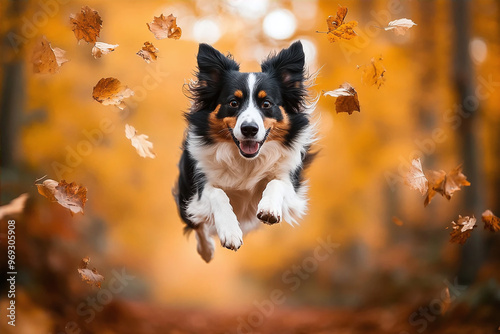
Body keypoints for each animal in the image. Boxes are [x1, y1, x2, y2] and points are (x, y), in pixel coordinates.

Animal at [174, 40, 316, 262]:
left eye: (266, 104)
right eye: (233, 102)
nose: (249, 129)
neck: (246, 161)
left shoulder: (290, 183)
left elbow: (276, 182)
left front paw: (269, 208)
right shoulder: (200, 183)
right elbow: (217, 194)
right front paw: (230, 232)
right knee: (196, 223)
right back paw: (206, 250)